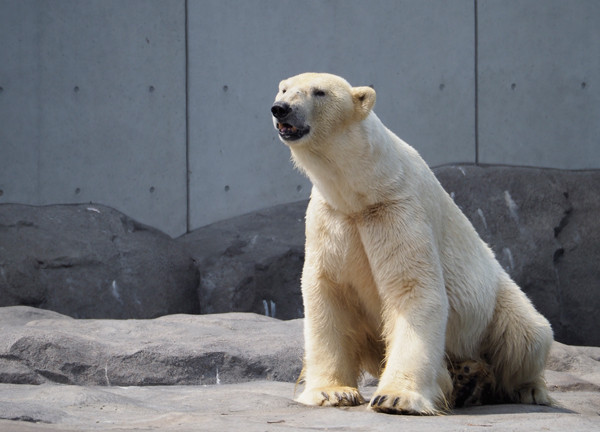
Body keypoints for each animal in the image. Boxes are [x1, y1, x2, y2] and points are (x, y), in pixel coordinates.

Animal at [270, 72, 552, 414]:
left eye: (319, 92)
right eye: (284, 88)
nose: (281, 109)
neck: (363, 190)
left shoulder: (397, 210)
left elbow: (413, 289)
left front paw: (395, 397)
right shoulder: (331, 219)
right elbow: (328, 292)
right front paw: (332, 392)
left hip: (496, 301)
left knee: (526, 335)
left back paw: (527, 389)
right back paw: (466, 380)